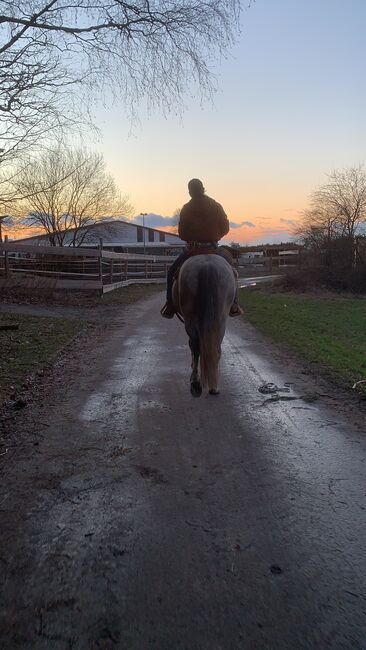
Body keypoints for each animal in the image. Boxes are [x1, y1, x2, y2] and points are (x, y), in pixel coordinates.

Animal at [172, 252, 236, 394]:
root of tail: (208, 266)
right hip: (220, 318)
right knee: (215, 344)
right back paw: (213, 386)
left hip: (190, 319)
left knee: (195, 346)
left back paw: (196, 383)